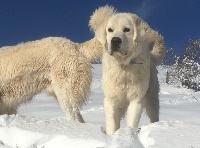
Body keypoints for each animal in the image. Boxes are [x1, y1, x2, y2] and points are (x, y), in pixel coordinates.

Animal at [90, 6, 165, 135]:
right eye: (110, 30)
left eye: (126, 29)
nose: (115, 40)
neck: (124, 67)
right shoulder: (111, 100)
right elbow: (112, 124)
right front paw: (112, 136)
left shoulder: (136, 99)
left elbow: (132, 122)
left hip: (152, 98)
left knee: (154, 115)